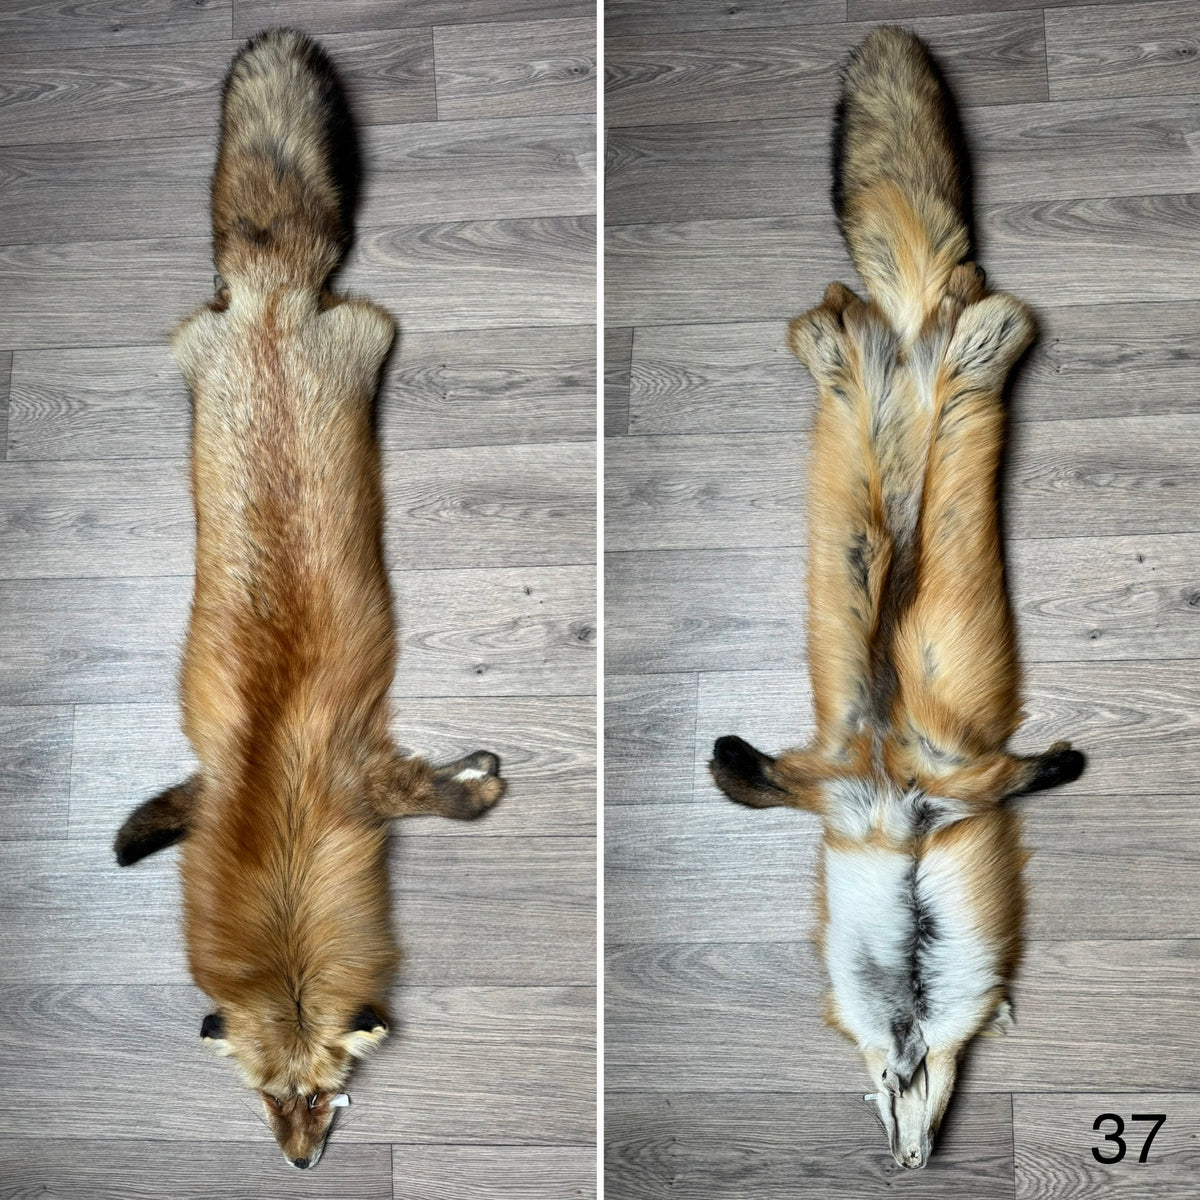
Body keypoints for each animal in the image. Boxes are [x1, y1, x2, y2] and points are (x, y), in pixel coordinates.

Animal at [112, 28, 505, 1169]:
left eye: (326, 1096)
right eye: (265, 1102)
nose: (298, 1165)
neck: (272, 821)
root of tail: (270, 298)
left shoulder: (364, 777)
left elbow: (441, 796)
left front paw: (481, 786)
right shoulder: (210, 786)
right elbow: (147, 825)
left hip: (368, 337)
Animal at [708, 26, 1084, 1169]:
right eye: (885, 1078)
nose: (907, 1158)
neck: (905, 828)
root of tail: (911, 339)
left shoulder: (958, 781)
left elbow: (1028, 772)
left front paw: (1068, 764)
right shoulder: (837, 784)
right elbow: (749, 776)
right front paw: (728, 760)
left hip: (964, 410)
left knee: (972, 328)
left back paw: (961, 328)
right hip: (857, 419)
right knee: (849, 332)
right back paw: (864, 330)